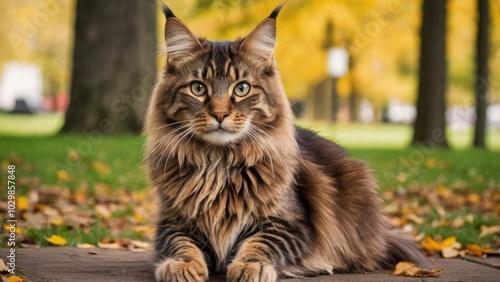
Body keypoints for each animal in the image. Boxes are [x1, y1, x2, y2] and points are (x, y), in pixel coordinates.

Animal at [144, 2, 426, 282]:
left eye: (242, 89)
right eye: (198, 88)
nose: (220, 114)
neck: (218, 163)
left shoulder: (290, 225)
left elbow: (260, 244)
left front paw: (250, 268)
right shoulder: (172, 223)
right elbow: (181, 245)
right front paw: (180, 267)